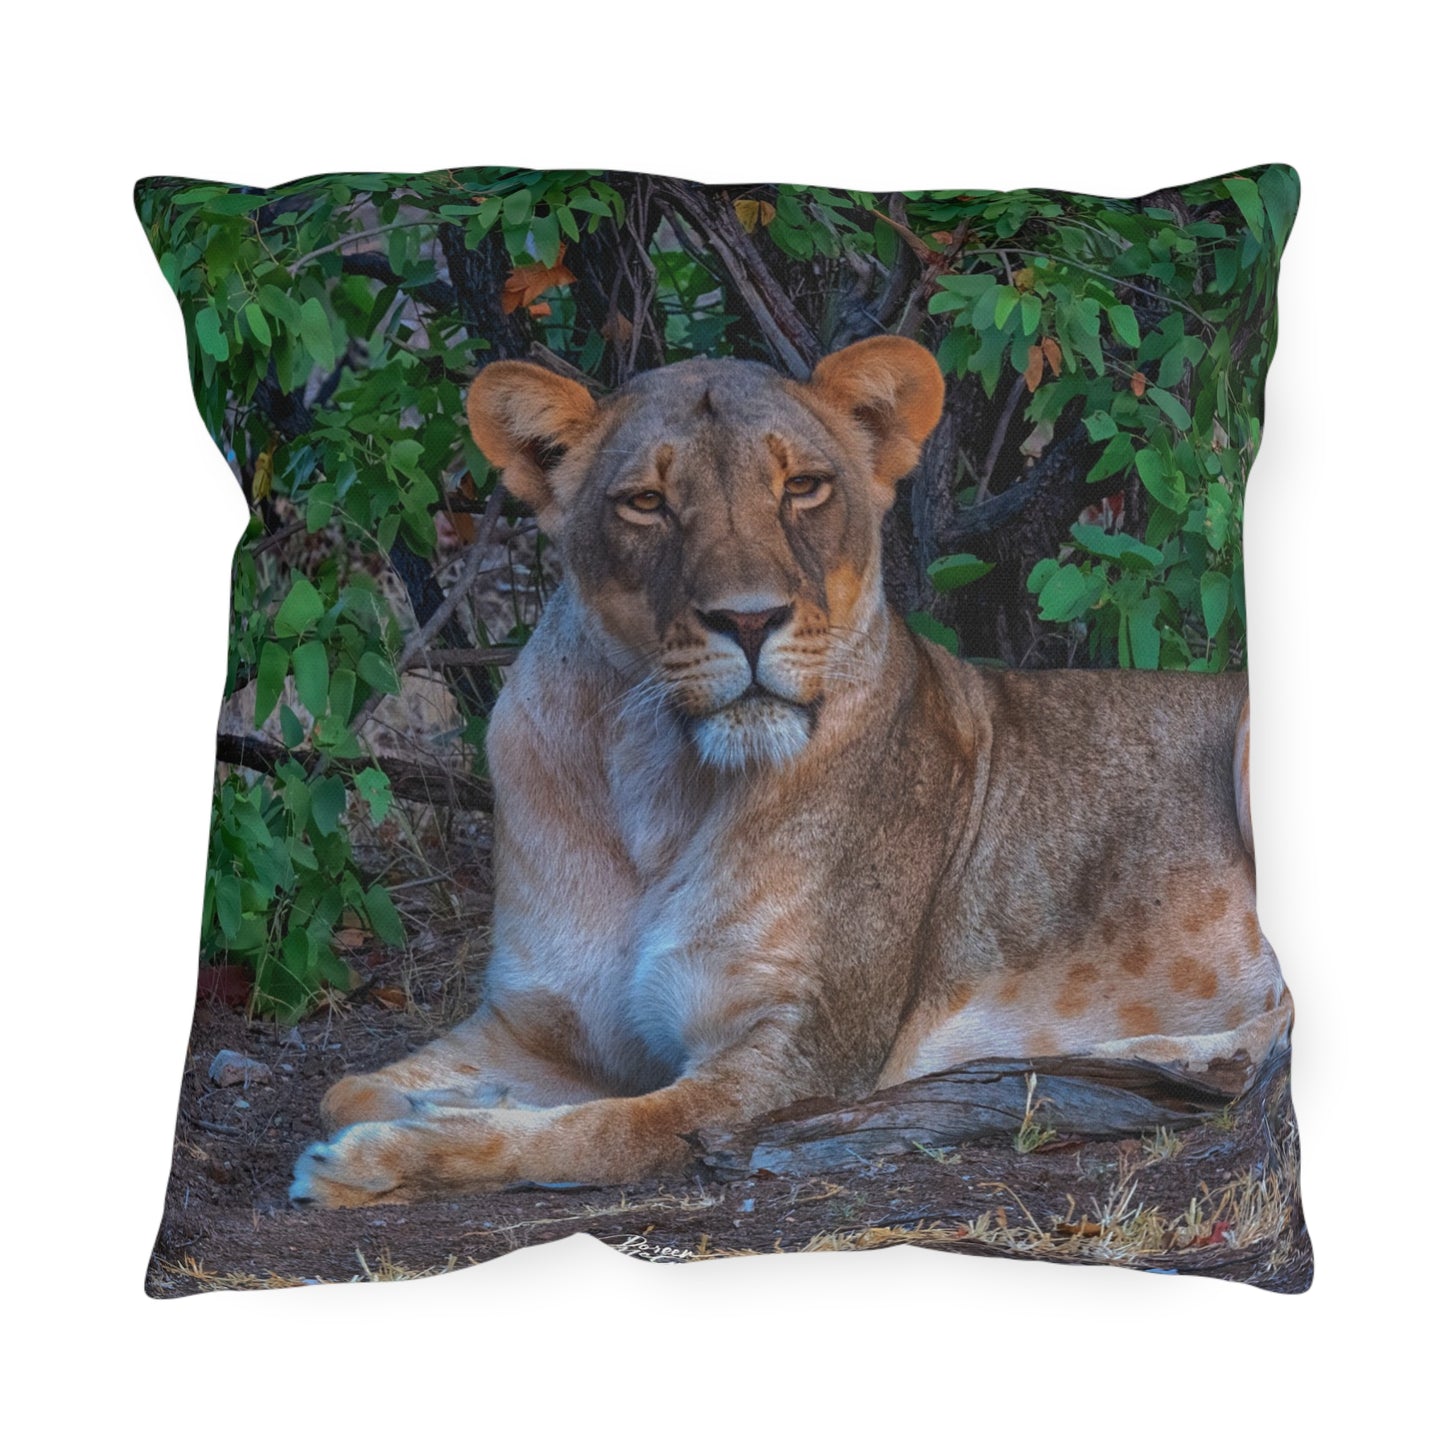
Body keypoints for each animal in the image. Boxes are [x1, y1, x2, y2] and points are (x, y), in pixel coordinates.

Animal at [290, 336, 1291, 1207]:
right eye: (645, 502)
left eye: (802, 487)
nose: (748, 618)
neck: (656, 780)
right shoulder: (539, 1020)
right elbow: (346, 1086)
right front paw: (423, 1107)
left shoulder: (792, 1057)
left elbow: (604, 1132)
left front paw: (381, 1161)